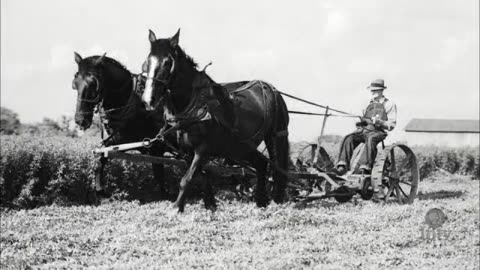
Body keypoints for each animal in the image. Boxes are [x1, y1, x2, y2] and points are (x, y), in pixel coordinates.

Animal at [69, 52, 171, 200]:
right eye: (75, 84)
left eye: (93, 84)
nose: (80, 120)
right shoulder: (123, 140)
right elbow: (102, 156)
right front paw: (100, 190)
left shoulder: (156, 145)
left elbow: (159, 172)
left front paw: (166, 194)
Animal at [141, 29, 290, 211]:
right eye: (147, 61)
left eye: (168, 62)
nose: (148, 99)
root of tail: (273, 90)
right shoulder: (186, 151)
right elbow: (201, 176)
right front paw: (210, 205)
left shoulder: (203, 148)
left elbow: (187, 179)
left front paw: (177, 207)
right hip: (238, 146)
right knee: (261, 163)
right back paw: (260, 201)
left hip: (275, 136)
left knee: (276, 168)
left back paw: (272, 199)